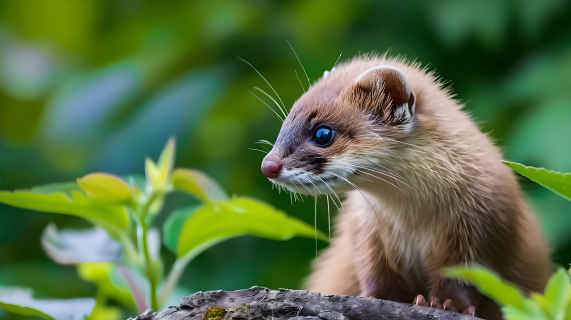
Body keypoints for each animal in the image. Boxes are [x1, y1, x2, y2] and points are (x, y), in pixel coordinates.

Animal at [260, 53, 556, 318]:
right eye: (286, 121)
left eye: (323, 132)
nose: (268, 165)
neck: (414, 221)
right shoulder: (366, 233)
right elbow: (376, 275)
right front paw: (372, 298)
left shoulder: (484, 225)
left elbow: (467, 275)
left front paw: (448, 304)